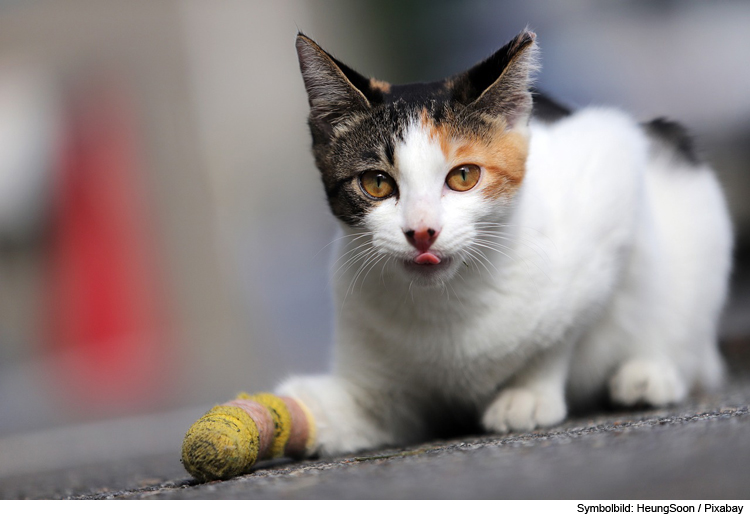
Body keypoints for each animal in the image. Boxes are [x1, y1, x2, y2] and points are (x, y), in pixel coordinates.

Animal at [274, 31, 732, 456]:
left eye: (463, 176)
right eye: (376, 183)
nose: (422, 231)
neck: (447, 303)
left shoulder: (609, 169)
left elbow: (565, 330)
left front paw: (528, 393)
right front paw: (308, 415)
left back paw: (650, 373)